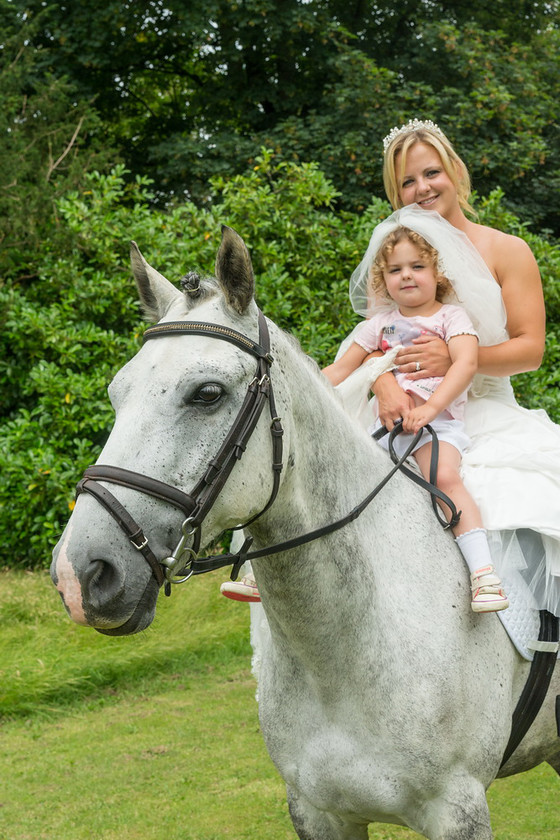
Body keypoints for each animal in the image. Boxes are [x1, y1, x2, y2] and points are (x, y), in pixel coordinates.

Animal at [50, 228, 556, 840]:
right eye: (116, 392)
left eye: (207, 393)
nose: (81, 574)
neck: (339, 652)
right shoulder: (317, 812)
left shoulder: (457, 811)